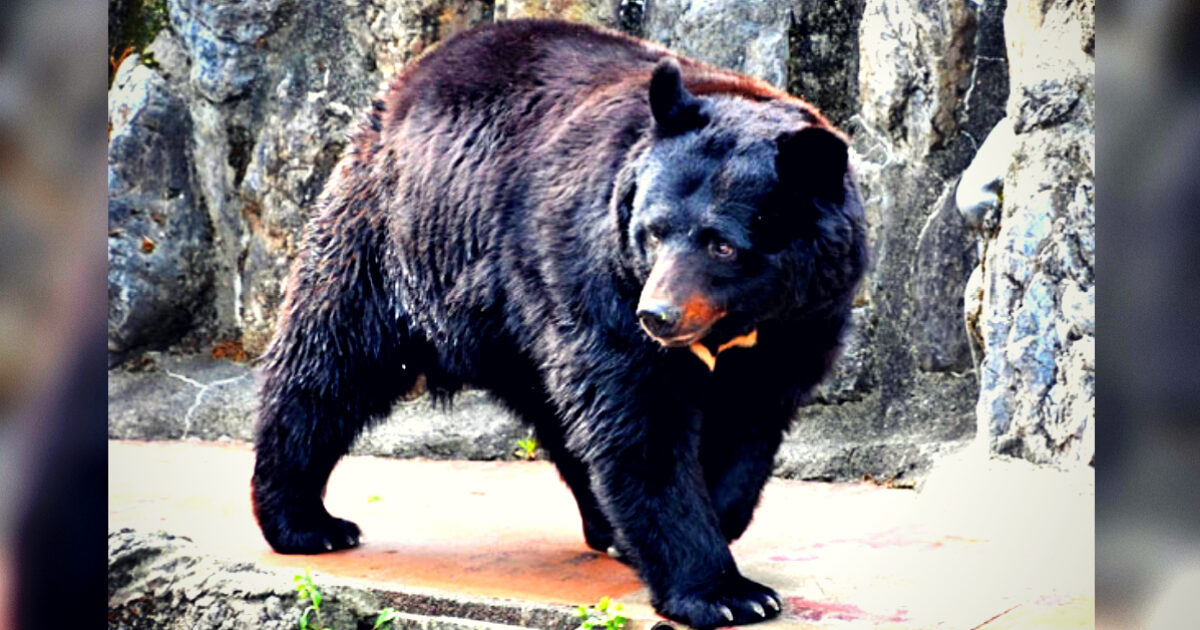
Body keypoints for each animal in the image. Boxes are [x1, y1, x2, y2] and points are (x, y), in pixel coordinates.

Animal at [251, 19, 866, 629]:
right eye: (654, 231)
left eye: (722, 244)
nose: (658, 315)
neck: (744, 318)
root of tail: (407, 81)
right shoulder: (601, 280)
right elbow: (643, 424)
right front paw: (724, 592)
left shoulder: (807, 316)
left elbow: (751, 418)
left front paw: (720, 517)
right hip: (395, 243)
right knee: (332, 362)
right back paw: (307, 521)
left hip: (510, 317)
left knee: (556, 413)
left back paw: (606, 525)